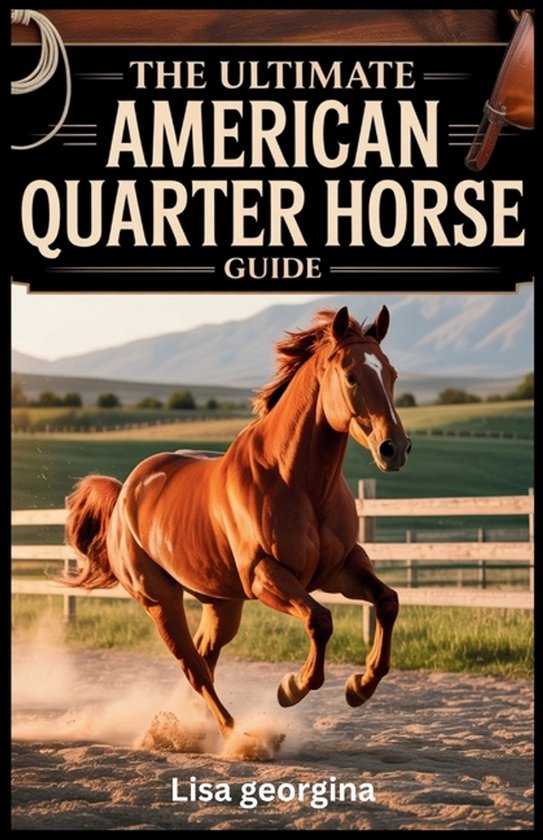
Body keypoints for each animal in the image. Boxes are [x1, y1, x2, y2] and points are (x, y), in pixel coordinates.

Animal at [62, 305, 411, 741]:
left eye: (391, 373)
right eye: (350, 375)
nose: (394, 448)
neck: (295, 482)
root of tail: (125, 490)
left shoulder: (340, 568)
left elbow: (387, 601)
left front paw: (359, 687)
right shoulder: (265, 576)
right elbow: (320, 620)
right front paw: (290, 687)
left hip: (221, 603)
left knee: (205, 655)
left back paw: (187, 727)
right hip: (160, 600)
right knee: (194, 667)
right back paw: (237, 735)